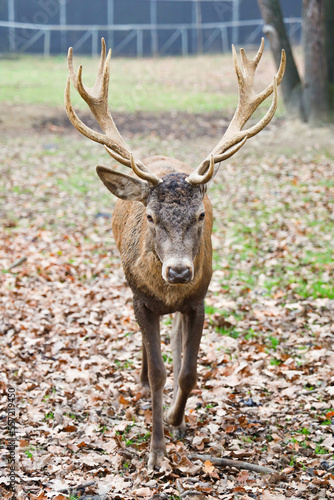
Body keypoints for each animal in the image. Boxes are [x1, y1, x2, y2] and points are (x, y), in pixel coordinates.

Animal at [64, 39, 284, 468]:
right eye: (150, 215)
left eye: (200, 214)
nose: (179, 271)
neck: (167, 294)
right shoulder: (141, 300)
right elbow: (161, 374)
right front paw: (156, 452)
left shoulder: (199, 301)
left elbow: (187, 371)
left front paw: (177, 422)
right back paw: (140, 378)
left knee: (179, 343)